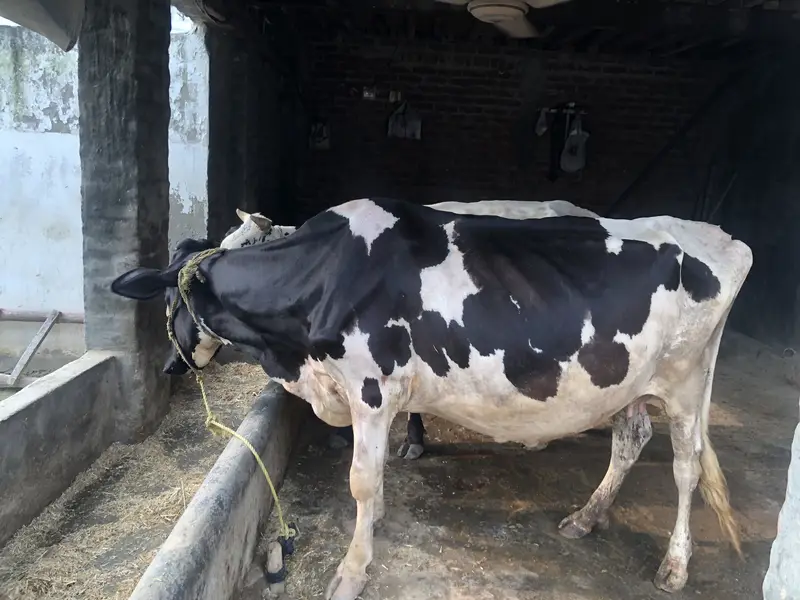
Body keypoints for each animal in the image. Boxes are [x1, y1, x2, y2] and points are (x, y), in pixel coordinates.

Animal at [112, 198, 751, 599]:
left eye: (169, 304)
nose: (169, 366)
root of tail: (721, 238)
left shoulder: (371, 387)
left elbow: (360, 480)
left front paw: (352, 571)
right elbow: (374, 477)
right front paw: (377, 521)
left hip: (686, 381)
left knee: (687, 467)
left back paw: (674, 566)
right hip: (627, 384)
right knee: (631, 441)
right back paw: (585, 517)